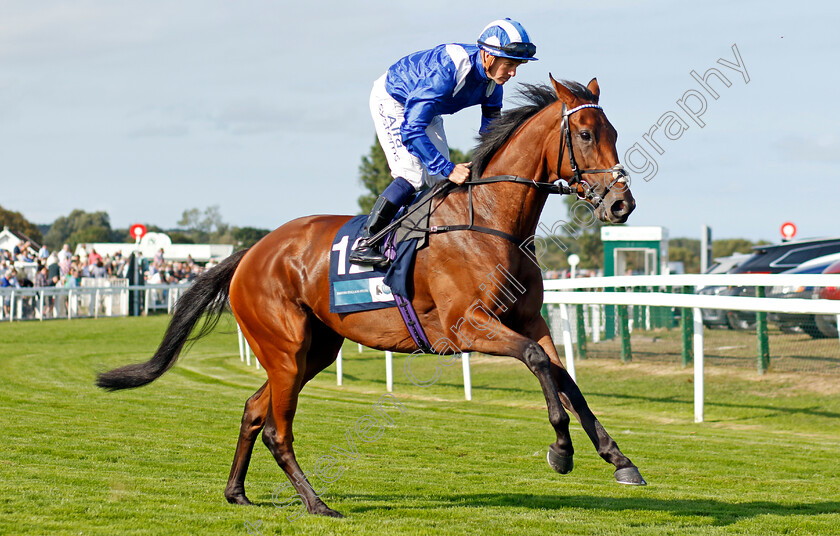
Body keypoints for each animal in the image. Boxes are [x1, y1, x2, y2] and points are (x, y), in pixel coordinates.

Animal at [95, 75, 640, 516]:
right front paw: (561, 451)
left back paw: (237, 492)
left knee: (253, 409)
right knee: (276, 428)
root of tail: (250, 253)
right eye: (586, 134)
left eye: (614, 133)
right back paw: (316, 503)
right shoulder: (468, 325)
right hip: (286, 349)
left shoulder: (530, 321)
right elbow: (539, 364)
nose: (621, 204)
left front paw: (618, 458)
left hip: (314, 349)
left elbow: (564, 377)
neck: (488, 219)